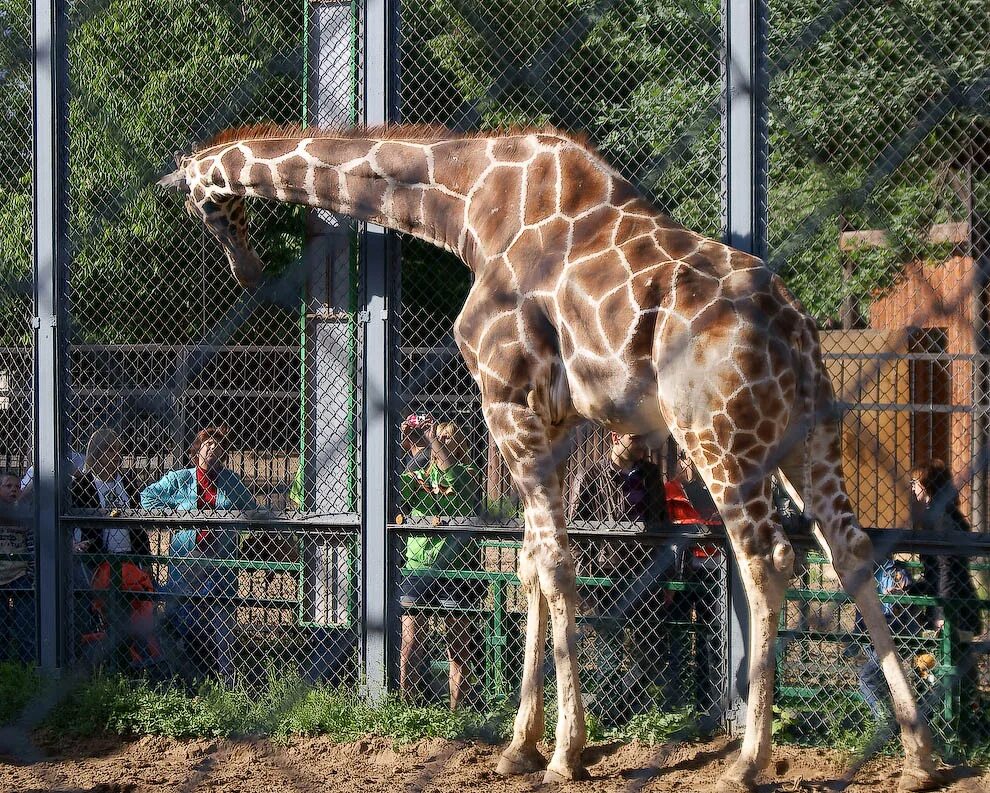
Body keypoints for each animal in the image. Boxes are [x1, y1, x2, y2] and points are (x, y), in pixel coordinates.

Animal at [161, 124, 944, 784]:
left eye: (205, 204)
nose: (245, 269)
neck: (469, 207)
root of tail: (798, 331)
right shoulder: (555, 419)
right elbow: (534, 564)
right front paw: (521, 744)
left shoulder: (505, 399)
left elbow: (558, 565)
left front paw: (565, 753)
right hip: (808, 436)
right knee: (850, 549)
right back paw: (919, 757)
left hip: (720, 437)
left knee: (768, 559)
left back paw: (748, 762)